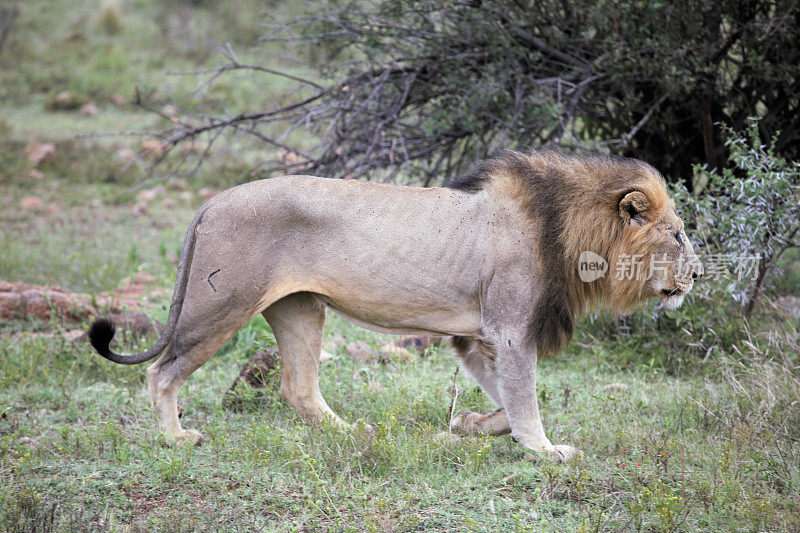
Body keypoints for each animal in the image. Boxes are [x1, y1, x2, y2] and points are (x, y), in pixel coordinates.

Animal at [86, 150, 700, 462]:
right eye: (676, 235)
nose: (697, 275)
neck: (571, 232)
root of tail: (212, 202)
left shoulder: (476, 336)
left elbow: (507, 397)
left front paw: (472, 425)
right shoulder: (508, 329)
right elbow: (526, 400)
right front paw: (545, 450)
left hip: (300, 309)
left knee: (298, 389)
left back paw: (354, 434)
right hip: (221, 306)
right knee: (162, 373)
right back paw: (175, 438)